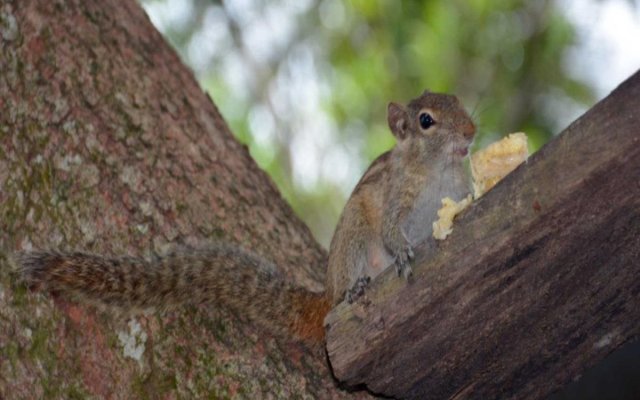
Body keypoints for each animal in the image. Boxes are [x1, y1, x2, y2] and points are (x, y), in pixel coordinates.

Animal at [13, 90, 476, 344]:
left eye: (457, 101)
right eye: (426, 121)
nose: (471, 132)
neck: (438, 172)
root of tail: (325, 292)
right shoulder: (395, 196)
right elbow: (392, 228)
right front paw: (403, 251)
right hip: (355, 238)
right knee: (346, 285)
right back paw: (355, 288)